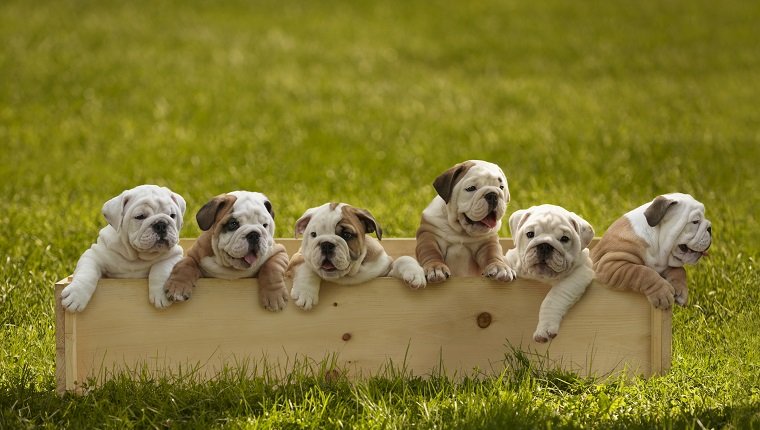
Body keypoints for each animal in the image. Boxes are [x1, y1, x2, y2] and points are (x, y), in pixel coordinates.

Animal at [59, 185, 187, 312]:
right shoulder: (94, 255)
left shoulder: (174, 255)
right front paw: (76, 295)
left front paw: (161, 294)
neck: (136, 255)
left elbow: (162, 268)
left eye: (172, 216)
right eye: (140, 216)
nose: (161, 224)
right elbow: (87, 273)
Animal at [162, 193, 290, 310]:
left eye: (265, 225)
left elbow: (272, 268)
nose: (254, 234)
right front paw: (178, 288)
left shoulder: (279, 251)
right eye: (233, 224)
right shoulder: (195, 255)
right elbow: (185, 265)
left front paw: (274, 296)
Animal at [288, 202, 428, 310]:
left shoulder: (386, 270)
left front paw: (415, 273)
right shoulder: (296, 258)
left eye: (346, 235)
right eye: (313, 234)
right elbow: (306, 266)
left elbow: (402, 259)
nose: (326, 244)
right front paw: (305, 293)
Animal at [508, 205, 596, 342]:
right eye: (530, 234)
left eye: (564, 238)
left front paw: (545, 328)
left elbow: (553, 297)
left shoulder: (580, 274)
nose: (545, 245)